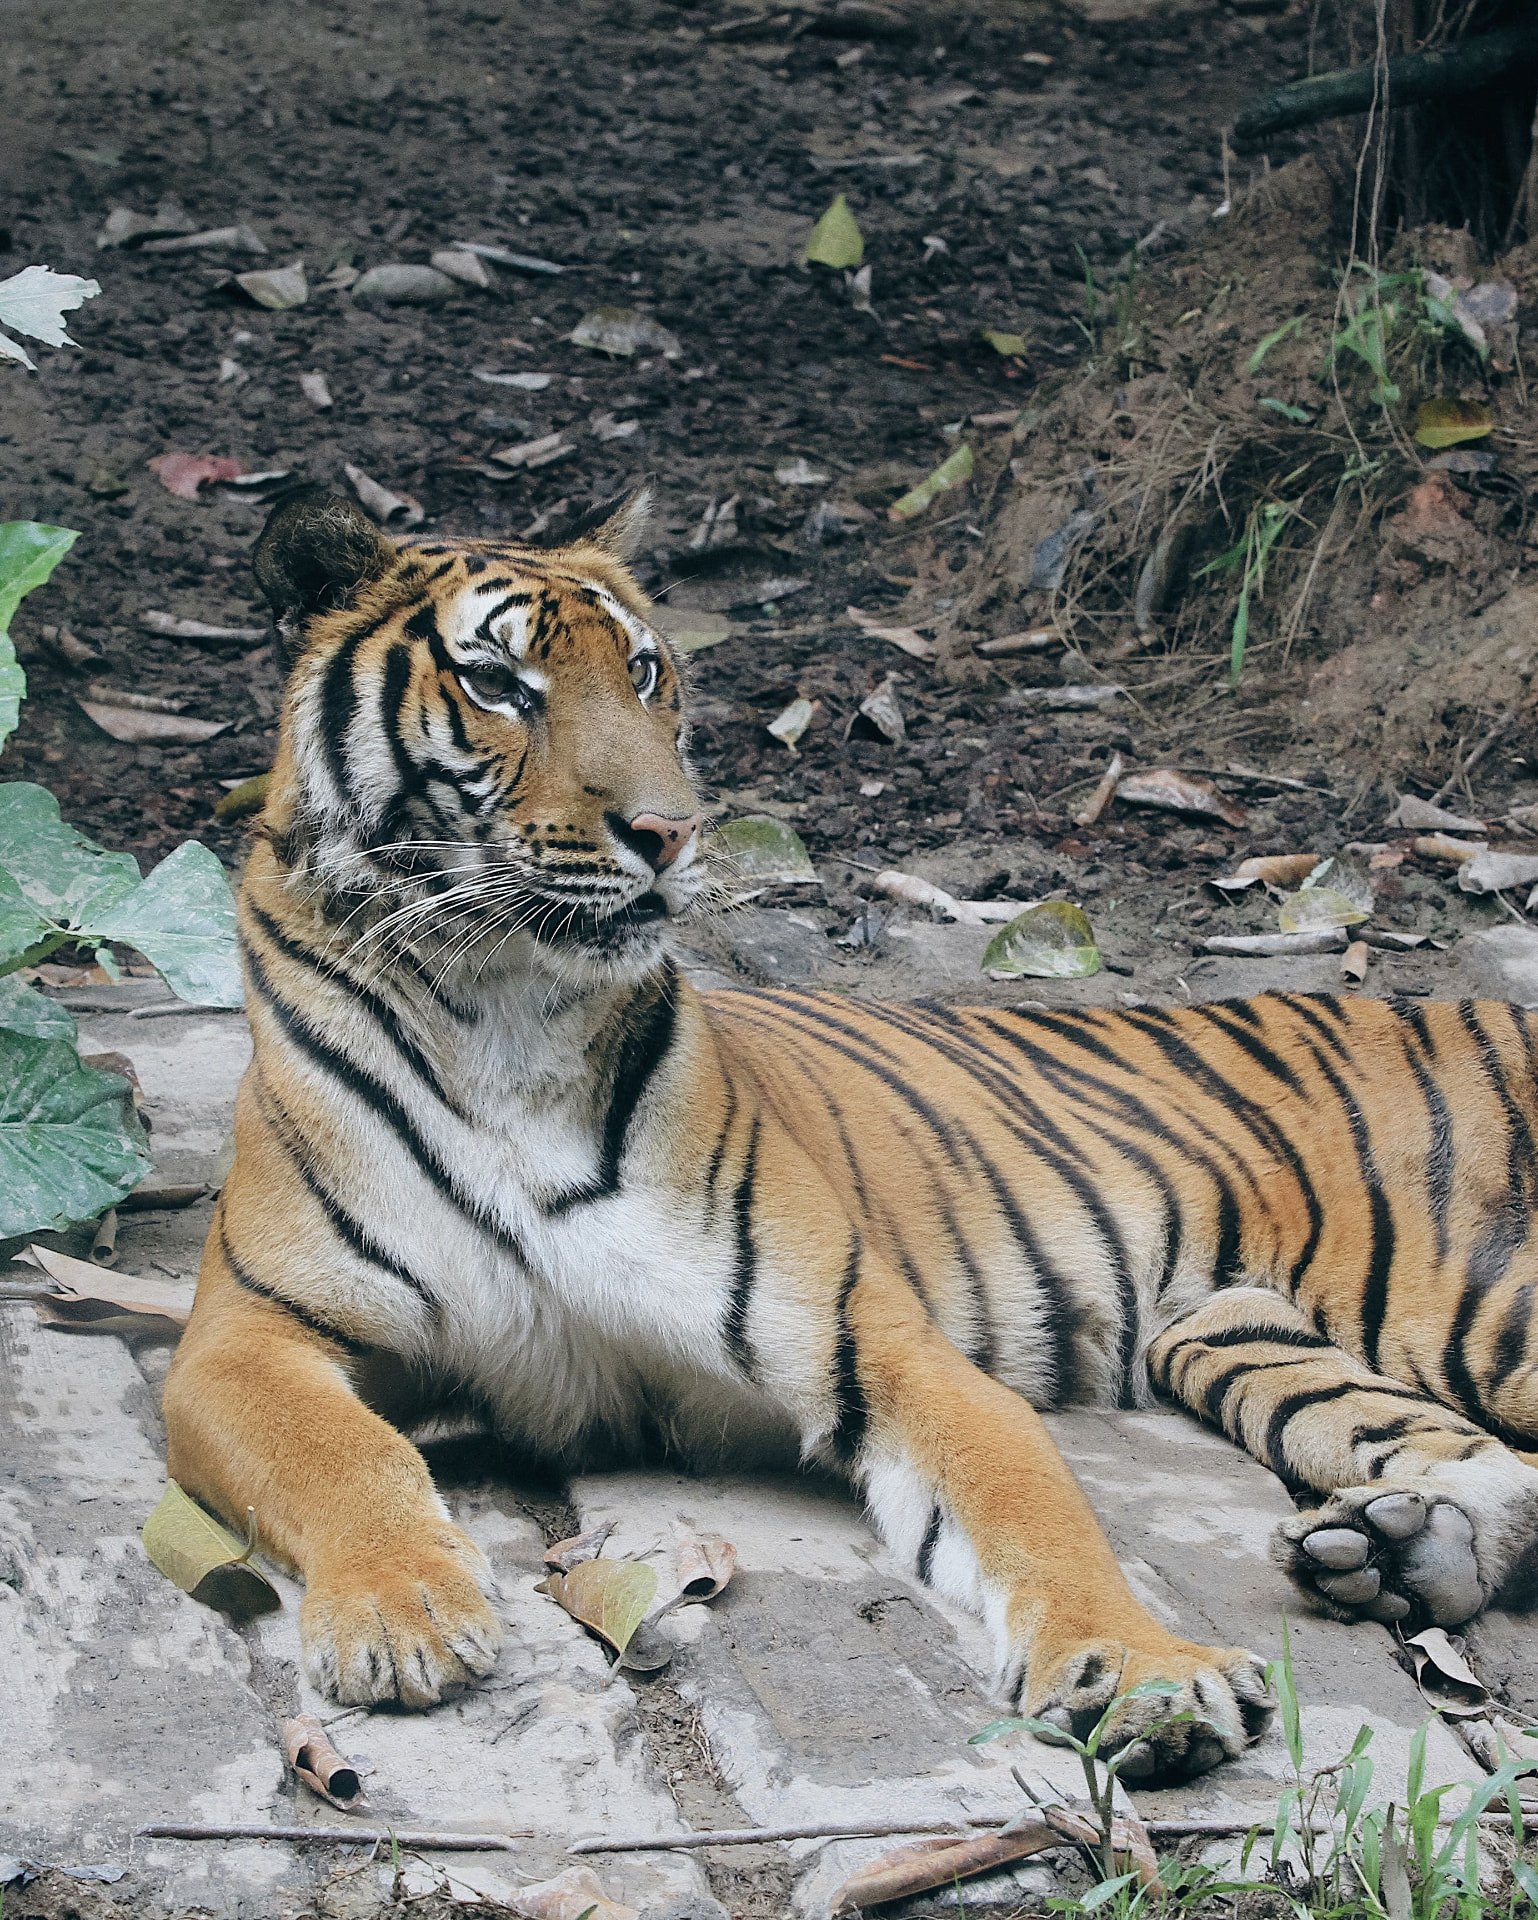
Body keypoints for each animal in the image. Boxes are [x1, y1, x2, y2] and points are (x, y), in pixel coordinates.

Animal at [162, 485, 1538, 1787]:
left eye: (644, 673)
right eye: (498, 684)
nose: (669, 833)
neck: (502, 1005)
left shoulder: (877, 1342)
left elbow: (1031, 1511)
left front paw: (1143, 1674)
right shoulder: (248, 1331)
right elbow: (344, 1455)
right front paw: (400, 1615)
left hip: (1475, 1304)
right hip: (1232, 1329)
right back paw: (1396, 1550)